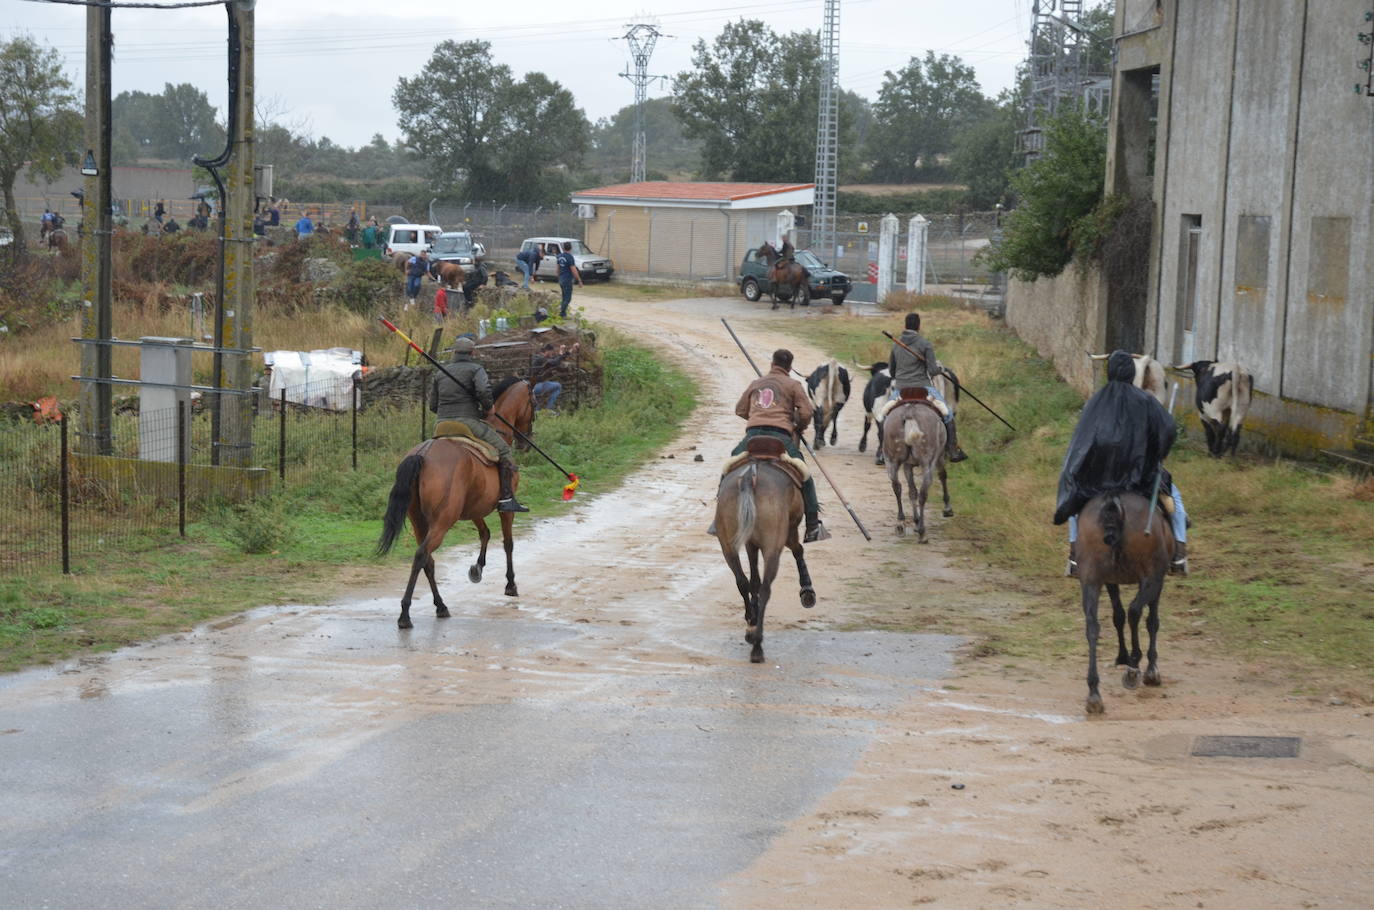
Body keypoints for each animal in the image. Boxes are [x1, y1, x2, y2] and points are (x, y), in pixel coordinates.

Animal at [376, 376, 535, 626]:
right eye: (534, 402)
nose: (526, 441)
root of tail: (422, 454)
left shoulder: (475, 507)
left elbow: (485, 533)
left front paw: (477, 569)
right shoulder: (505, 509)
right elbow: (508, 543)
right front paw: (510, 584)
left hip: (419, 520)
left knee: (428, 560)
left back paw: (440, 606)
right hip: (443, 520)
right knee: (421, 555)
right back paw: (405, 614)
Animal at [708, 453, 813, 662]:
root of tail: (750, 477)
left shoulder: (750, 543)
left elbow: (752, 581)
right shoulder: (788, 533)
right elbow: (798, 550)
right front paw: (807, 590)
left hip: (728, 546)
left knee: (742, 581)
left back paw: (751, 624)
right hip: (773, 547)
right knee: (766, 588)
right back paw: (757, 645)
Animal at [1071, 494, 1170, 714]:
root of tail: (1113, 501)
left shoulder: (1110, 579)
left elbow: (1118, 616)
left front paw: (1122, 656)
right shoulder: (1156, 579)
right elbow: (1152, 620)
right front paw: (1151, 670)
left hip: (1091, 578)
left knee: (1092, 626)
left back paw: (1094, 694)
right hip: (1151, 575)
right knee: (1135, 610)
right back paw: (1133, 667)